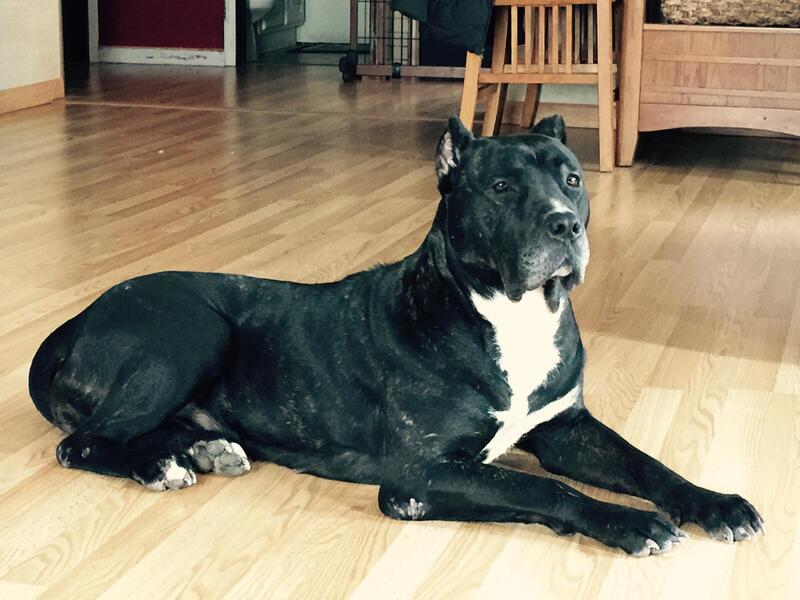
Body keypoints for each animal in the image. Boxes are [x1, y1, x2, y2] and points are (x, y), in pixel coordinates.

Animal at [28, 115, 763, 556]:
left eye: (573, 180)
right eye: (501, 187)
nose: (566, 223)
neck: (511, 315)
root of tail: (82, 317)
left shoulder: (566, 428)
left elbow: (645, 463)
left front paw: (714, 503)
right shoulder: (420, 475)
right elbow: (542, 491)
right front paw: (630, 521)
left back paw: (204, 449)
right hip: (193, 331)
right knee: (82, 441)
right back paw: (160, 464)